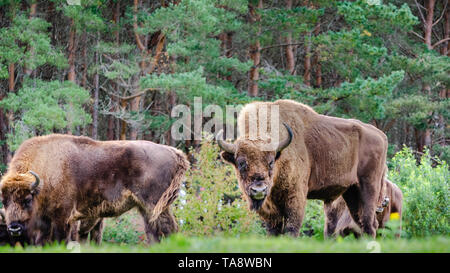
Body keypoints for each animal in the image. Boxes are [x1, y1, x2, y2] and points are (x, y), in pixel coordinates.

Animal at [0, 134, 188, 244]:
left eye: (27, 199)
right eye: (4, 201)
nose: (14, 228)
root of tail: (173, 152)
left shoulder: (64, 217)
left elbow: (61, 239)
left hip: (156, 205)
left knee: (169, 229)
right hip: (145, 209)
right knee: (154, 233)